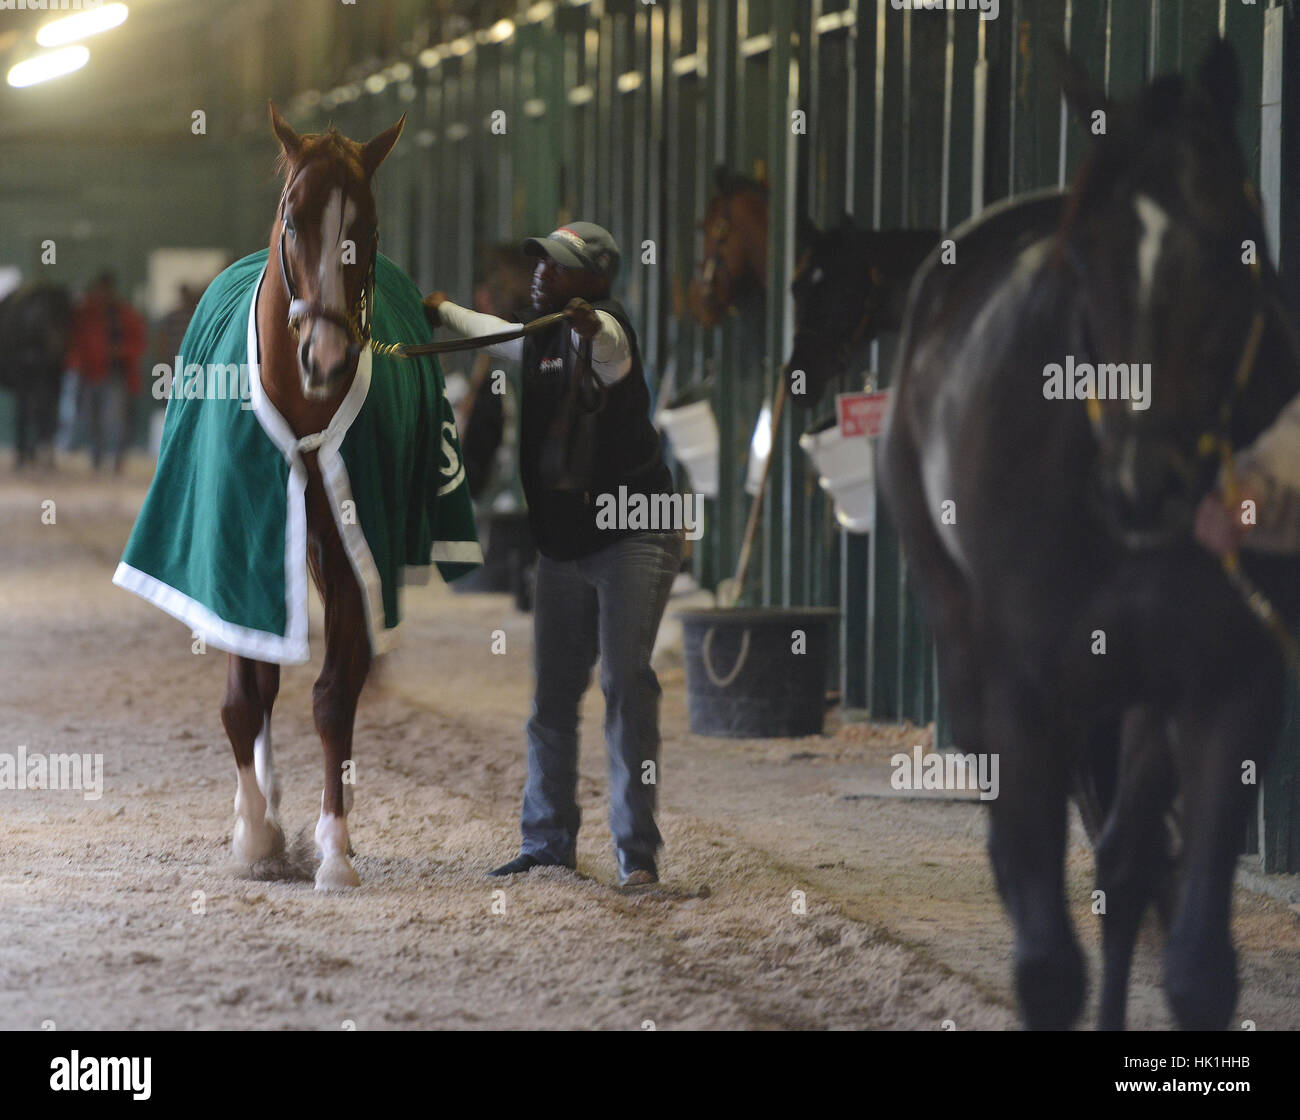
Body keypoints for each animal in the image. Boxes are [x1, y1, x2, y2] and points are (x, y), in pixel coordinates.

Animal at [114, 107, 480, 893]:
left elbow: (333, 696)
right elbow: (243, 698)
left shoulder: (354, 552)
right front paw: (256, 836)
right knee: (257, 681)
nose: (327, 359)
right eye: (294, 215)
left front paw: (334, 850)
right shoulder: (233, 539)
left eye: (368, 224)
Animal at [873, 39, 1300, 1029]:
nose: (1148, 486)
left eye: (1233, 245)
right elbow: (1046, 967)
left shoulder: (1231, 685)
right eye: (1088, 259)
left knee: (1126, 863)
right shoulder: (1025, 691)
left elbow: (1195, 963)